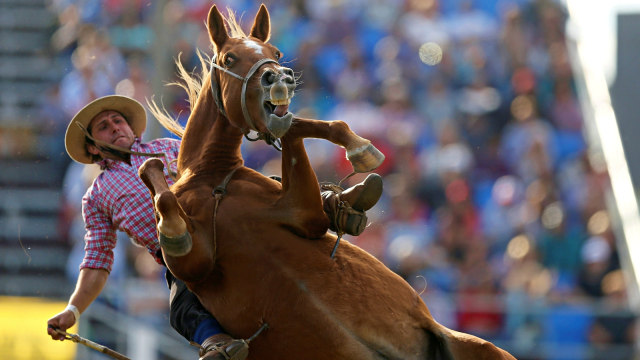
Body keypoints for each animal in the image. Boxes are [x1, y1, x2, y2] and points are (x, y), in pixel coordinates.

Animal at [139, 3, 516, 360]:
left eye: (275, 52)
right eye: (230, 57)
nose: (279, 77)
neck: (210, 177)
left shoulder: (303, 214)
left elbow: (296, 127)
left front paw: (359, 147)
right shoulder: (193, 262)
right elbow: (162, 196)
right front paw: (152, 174)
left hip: (483, 347)